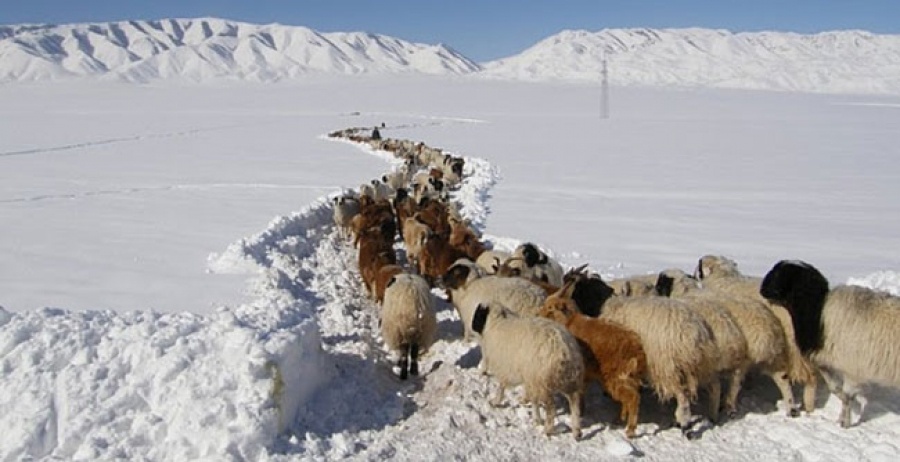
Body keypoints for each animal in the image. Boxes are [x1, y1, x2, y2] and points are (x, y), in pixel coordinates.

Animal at [468, 302, 588, 438]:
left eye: (478, 313)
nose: (472, 327)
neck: (496, 322)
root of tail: (564, 350)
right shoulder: (528, 376)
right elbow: (533, 399)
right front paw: (532, 413)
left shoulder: (508, 369)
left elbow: (502, 387)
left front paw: (496, 401)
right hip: (570, 381)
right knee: (575, 405)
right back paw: (577, 431)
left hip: (543, 383)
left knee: (551, 409)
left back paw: (548, 430)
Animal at [536, 294, 648, 438]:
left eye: (550, 308)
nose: (537, 314)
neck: (568, 322)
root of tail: (637, 349)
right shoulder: (585, 373)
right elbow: (582, 392)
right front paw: (582, 410)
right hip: (627, 378)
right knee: (628, 400)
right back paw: (620, 419)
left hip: (616, 378)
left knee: (633, 398)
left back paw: (630, 430)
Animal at [760, 260, 900, 426]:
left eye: (779, 274)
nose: (761, 289)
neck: (818, 312)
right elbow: (835, 388)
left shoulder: (851, 368)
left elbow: (846, 395)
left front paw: (844, 423)